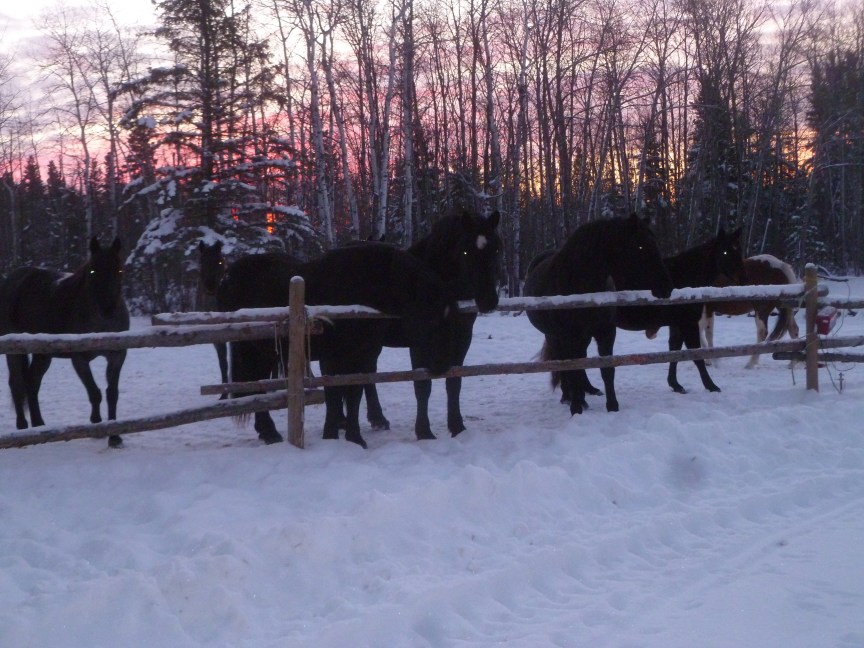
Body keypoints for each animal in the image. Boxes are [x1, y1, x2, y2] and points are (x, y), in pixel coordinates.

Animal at [0, 238, 130, 448]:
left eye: (119, 270)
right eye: (92, 271)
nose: (108, 309)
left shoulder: (117, 356)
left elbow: (112, 394)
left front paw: (115, 436)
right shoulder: (79, 359)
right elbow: (94, 392)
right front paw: (97, 426)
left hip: (42, 354)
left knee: (32, 383)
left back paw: (39, 425)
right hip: (15, 350)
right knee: (17, 385)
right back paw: (23, 427)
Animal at [217, 243, 458, 448]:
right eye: (432, 317)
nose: (442, 366)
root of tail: (229, 276)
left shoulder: (360, 356)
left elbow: (353, 396)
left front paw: (353, 438)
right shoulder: (333, 358)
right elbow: (334, 396)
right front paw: (334, 436)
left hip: (264, 352)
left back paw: (268, 432)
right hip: (253, 351)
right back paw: (270, 433)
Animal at [357, 210, 501, 439]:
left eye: (496, 248)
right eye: (466, 251)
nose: (488, 300)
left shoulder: (462, 339)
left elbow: (454, 382)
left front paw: (457, 427)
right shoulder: (419, 342)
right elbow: (422, 385)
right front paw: (424, 432)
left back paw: (377, 418)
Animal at [523, 213, 674, 416]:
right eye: (640, 246)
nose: (666, 287)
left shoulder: (606, 332)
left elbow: (607, 369)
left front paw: (612, 406)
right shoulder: (568, 336)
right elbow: (572, 368)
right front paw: (576, 408)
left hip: (583, 337)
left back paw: (587, 391)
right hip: (555, 336)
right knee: (564, 363)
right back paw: (569, 396)